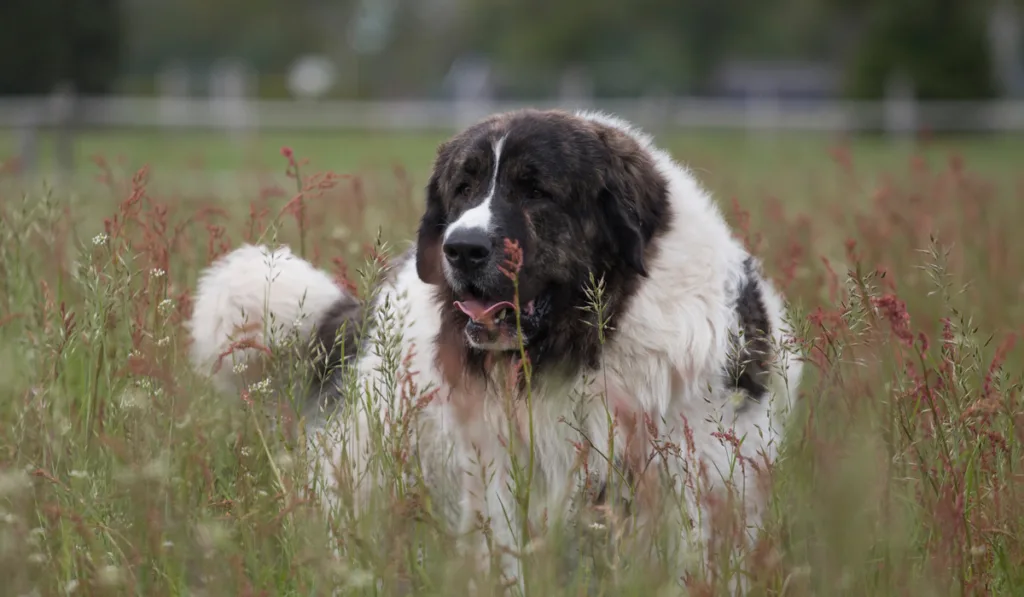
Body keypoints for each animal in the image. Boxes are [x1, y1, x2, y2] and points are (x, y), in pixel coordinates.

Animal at [188, 109, 802, 589]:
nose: (461, 248)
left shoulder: (696, 481)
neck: (587, 347)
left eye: (536, 191)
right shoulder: (503, 483)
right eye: (463, 188)